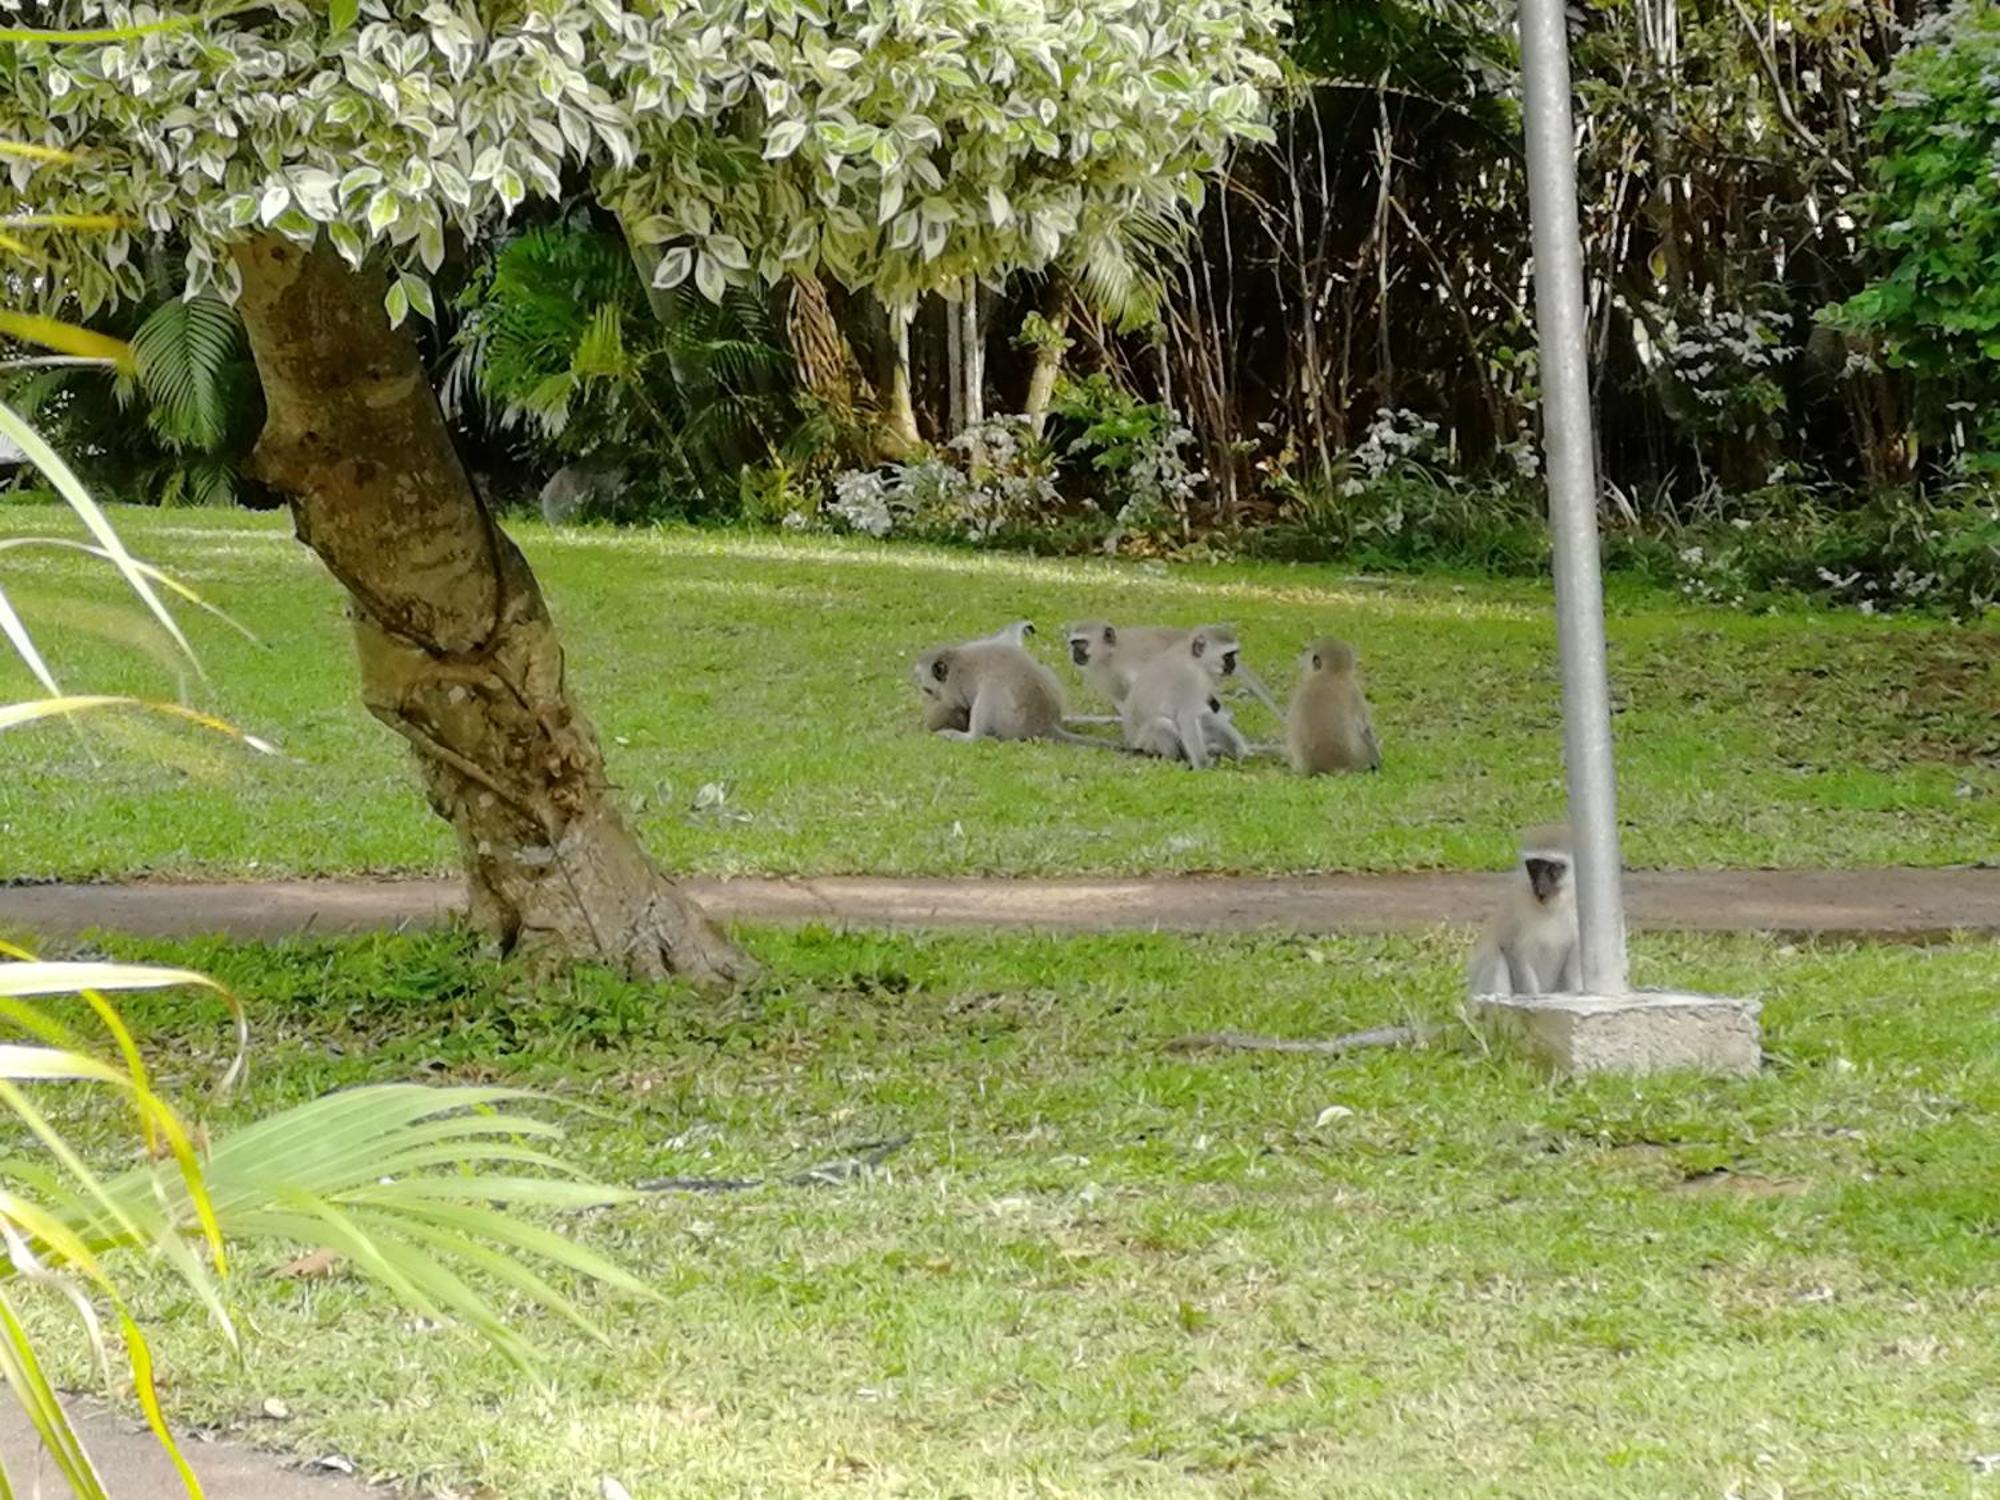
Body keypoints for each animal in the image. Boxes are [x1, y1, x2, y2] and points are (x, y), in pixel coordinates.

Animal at [1120, 624, 1256, 768]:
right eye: (1227, 656)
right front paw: (1204, 766)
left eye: (1233, 655)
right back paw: (1177, 759)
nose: (1233, 665)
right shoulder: (1189, 679)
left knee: (1206, 718)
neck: (1195, 661)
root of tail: (1132, 744)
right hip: (1148, 743)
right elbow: (1186, 717)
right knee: (1160, 724)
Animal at [1472, 828, 1576, 1004]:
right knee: (1497, 959)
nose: (1540, 889)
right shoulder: (1516, 909)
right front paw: (1531, 998)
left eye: (1553, 868)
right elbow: (1513, 951)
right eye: (1534, 866)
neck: (1551, 907)